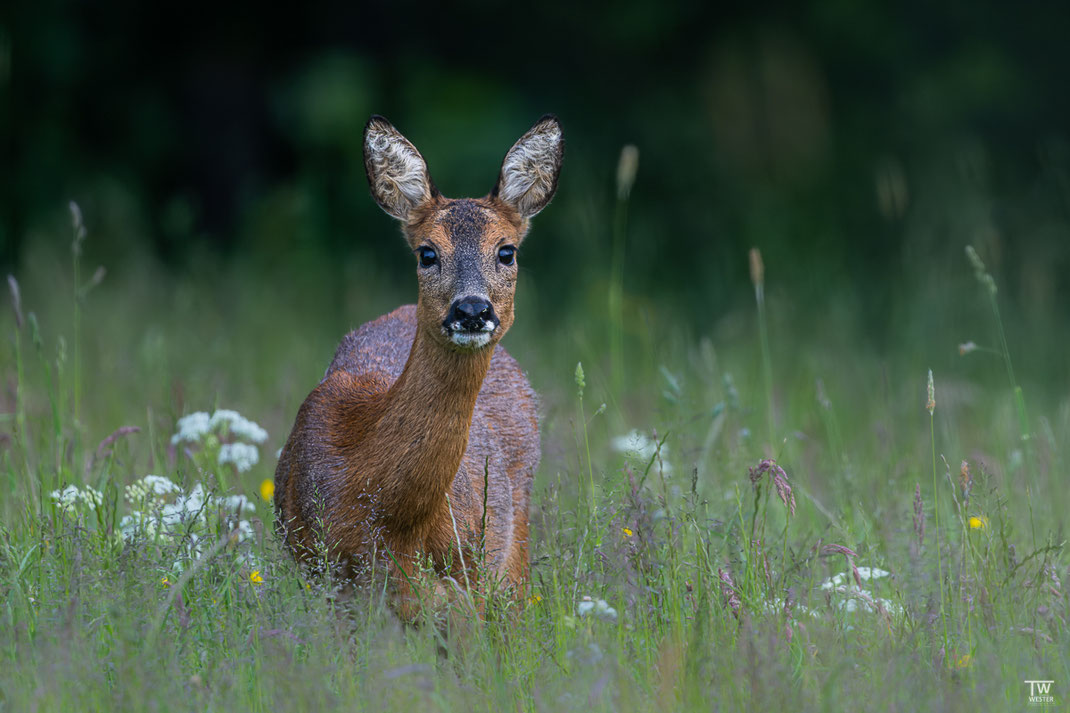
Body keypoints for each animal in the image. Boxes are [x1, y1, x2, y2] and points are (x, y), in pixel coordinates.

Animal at [271, 112, 564, 612]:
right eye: (427, 253)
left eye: (506, 251)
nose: (472, 309)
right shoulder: (324, 570)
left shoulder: (471, 573)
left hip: (514, 535)